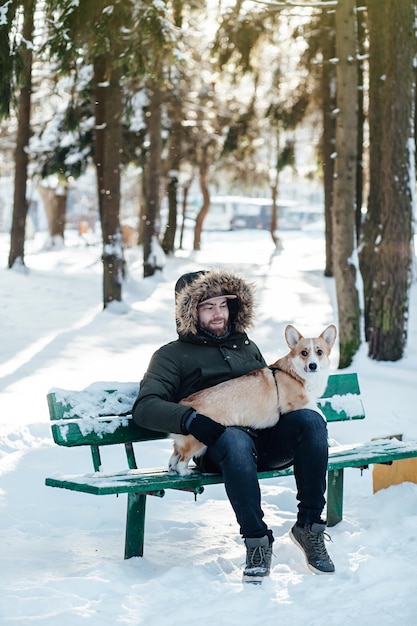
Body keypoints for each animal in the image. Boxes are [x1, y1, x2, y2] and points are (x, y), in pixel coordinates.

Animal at [167, 326, 336, 472]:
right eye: (304, 353)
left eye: (319, 352)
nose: (313, 366)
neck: (295, 374)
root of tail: (185, 403)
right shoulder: (296, 402)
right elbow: (319, 413)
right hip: (198, 442)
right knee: (182, 459)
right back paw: (185, 472)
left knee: (175, 452)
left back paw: (172, 467)